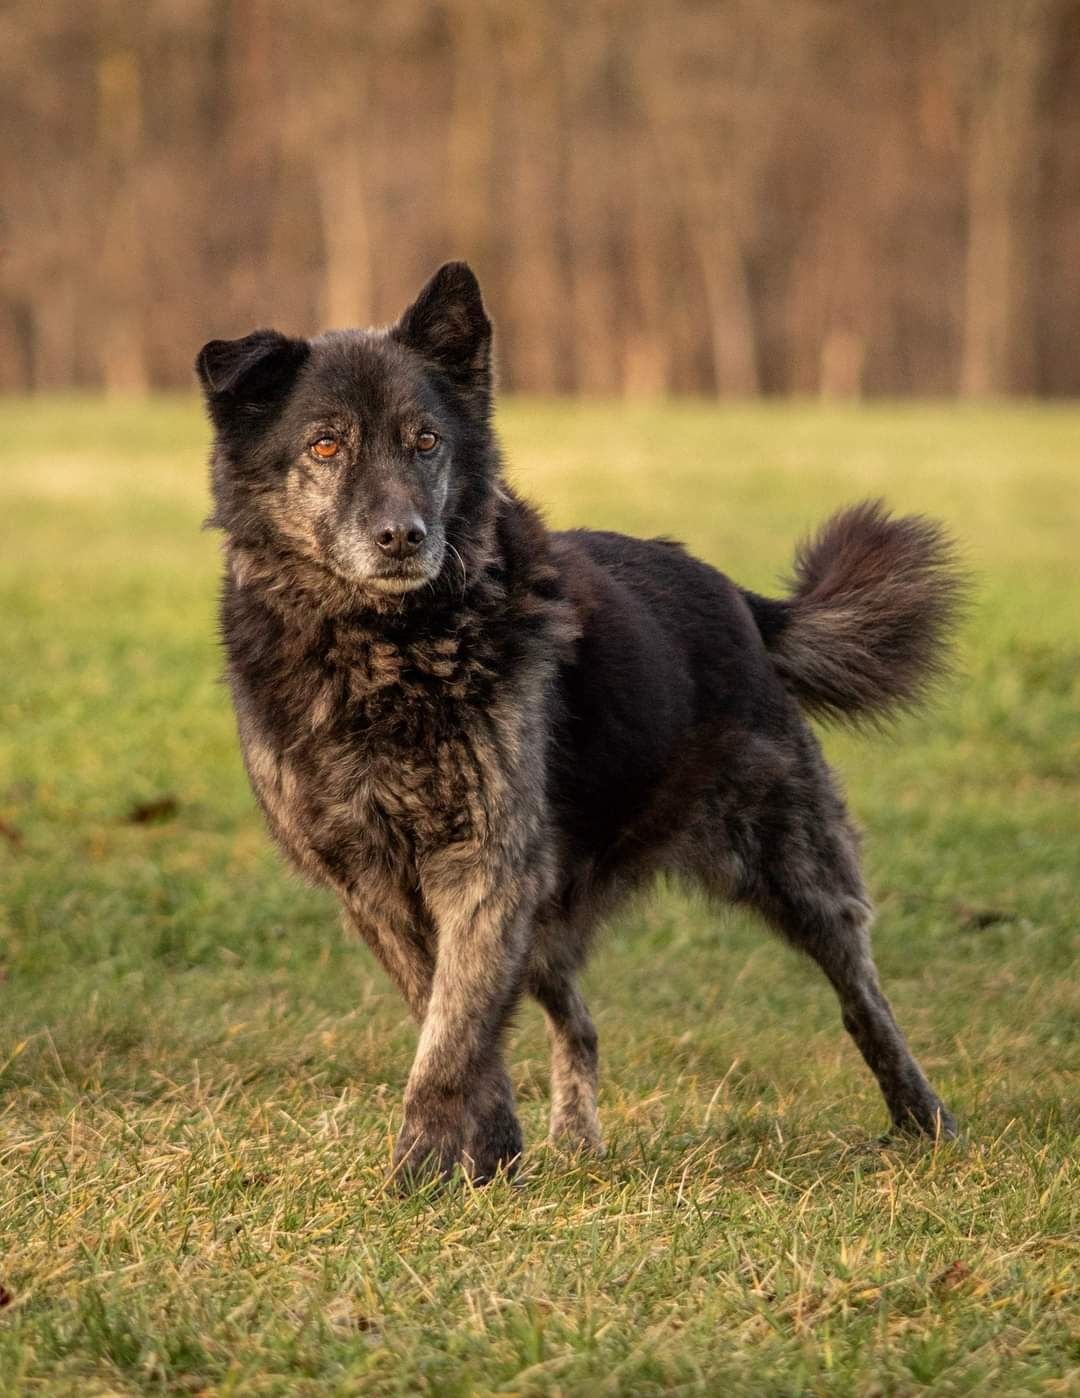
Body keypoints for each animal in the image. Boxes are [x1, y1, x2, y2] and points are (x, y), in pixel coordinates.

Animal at [198, 260, 966, 1179]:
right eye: (324, 446)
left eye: (427, 442)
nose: (402, 537)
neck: (384, 652)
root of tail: (742, 600)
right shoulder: (379, 888)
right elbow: (455, 1025)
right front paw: (491, 1157)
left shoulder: (488, 866)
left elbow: (451, 1041)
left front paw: (421, 1175)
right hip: (552, 911)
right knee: (581, 1022)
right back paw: (573, 1139)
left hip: (796, 868)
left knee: (862, 997)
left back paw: (924, 1117)